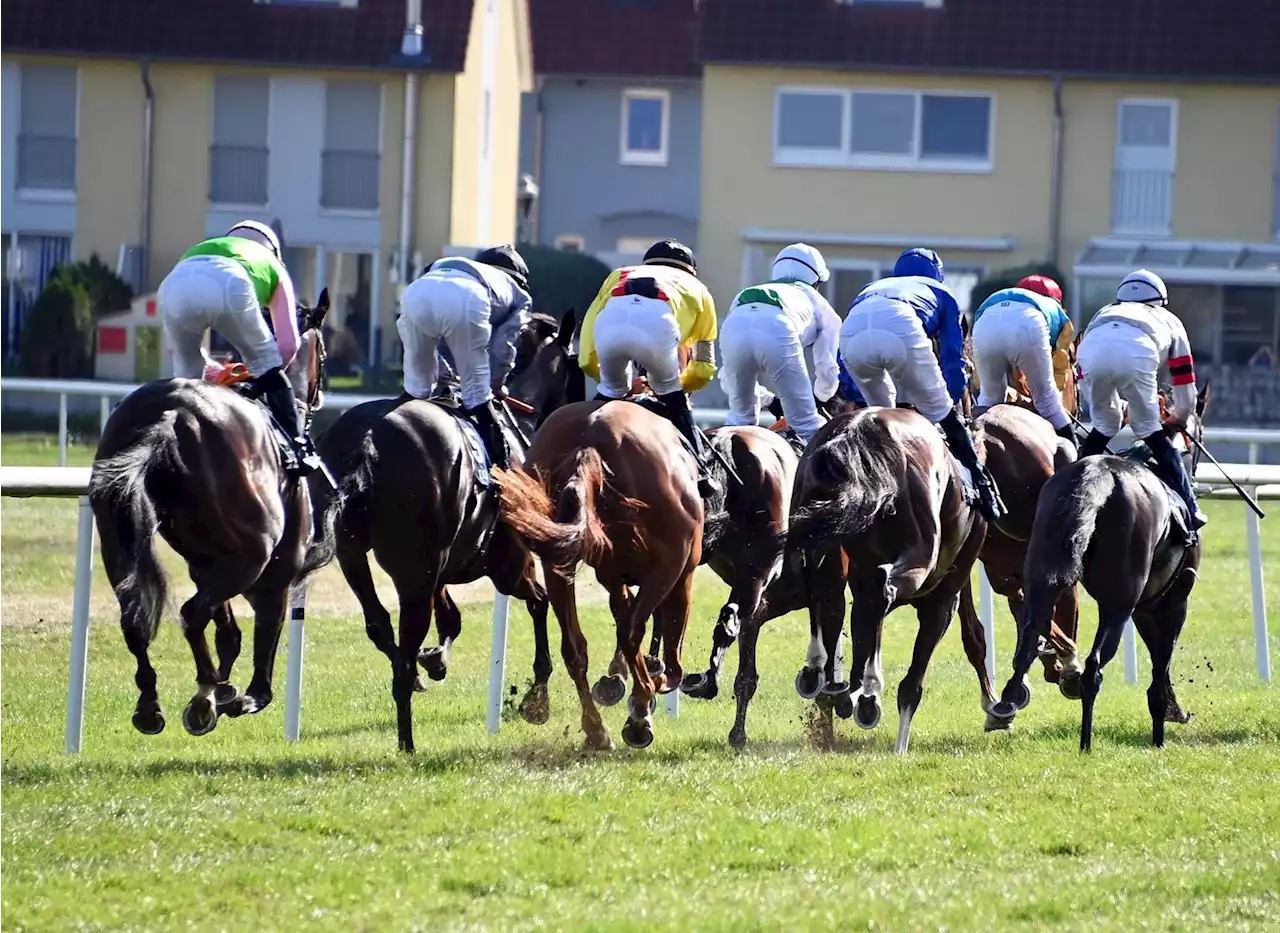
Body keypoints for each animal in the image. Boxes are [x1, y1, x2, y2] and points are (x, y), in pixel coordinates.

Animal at [88, 287, 330, 737]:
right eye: (323, 350)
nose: (321, 394)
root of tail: (173, 415)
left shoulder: (206, 562)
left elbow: (228, 633)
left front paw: (223, 688)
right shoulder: (278, 571)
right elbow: (260, 657)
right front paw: (235, 695)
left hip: (116, 536)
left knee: (134, 617)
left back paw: (151, 703)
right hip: (254, 553)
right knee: (190, 613)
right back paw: (202, 696)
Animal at [312, 307, 583, 747]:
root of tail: (368, 439)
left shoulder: (443, 566)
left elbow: (451, 617)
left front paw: (437, 660)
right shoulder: (507, 564)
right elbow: (539, 603)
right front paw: (536, 698)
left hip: (355, 555)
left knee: (379, 625)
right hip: (415, 569)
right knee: (405, 644)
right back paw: (407, 742)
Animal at [491, 399, 711, 747]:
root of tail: (591, 440)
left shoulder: (612, 575)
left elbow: (622, 615)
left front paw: (620, 682)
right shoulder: (680, 571)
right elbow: (666, 643)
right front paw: (649, 686)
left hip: (557, 565)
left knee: (574, 648)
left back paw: (596, 730)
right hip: (669, 567)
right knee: (632, 633)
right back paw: (640, 711)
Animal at [783, 406, 993, 747]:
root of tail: (857, 431)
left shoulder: (860, 581)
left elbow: (861, 626)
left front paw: (845, 693)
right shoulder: (944, 596)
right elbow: (914, 682)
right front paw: (898, 743)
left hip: (816, 536)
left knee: (817, 583)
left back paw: (818, 672)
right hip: (919, 556)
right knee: (884, 590)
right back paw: (869, 694)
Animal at [988, 381, 1208, 747]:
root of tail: (1095, 478)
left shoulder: (1146, 606)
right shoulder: (1174, 601)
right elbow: (1160, 663)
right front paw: (1161, 730)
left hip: (1040, 578)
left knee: (1029, 638)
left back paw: (1007, 702)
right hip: (1118, 601)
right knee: (1094, 667)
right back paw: (1085, 743)